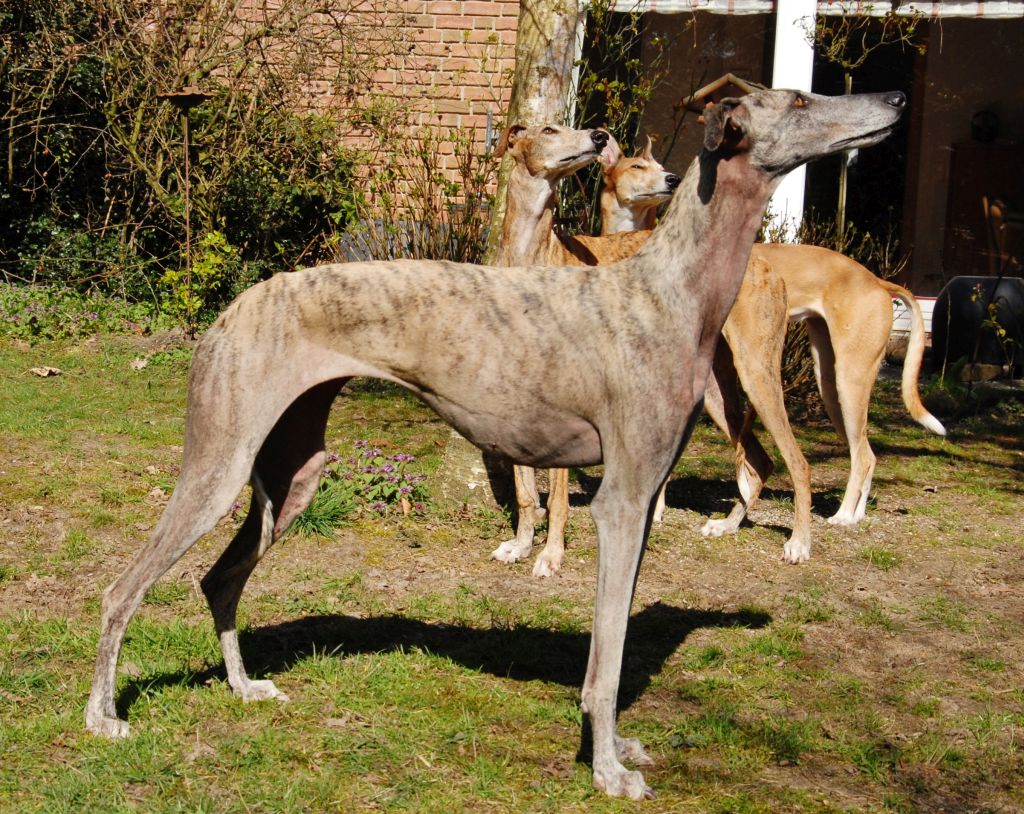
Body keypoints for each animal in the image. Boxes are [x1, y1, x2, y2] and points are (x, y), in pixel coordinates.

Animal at [85, 88, 906, 800]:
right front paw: (609, 772)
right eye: (800, 100)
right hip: (220, 464)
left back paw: (243, 687)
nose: (896, 100)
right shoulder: (621, 500)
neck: (664, 289)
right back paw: (105, 717)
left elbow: (611, 641)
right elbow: (606, 664)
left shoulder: (644, 500)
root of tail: (233, 307)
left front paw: (617, 750)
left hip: (295, 473)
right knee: (123, 589)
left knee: (219, 580)